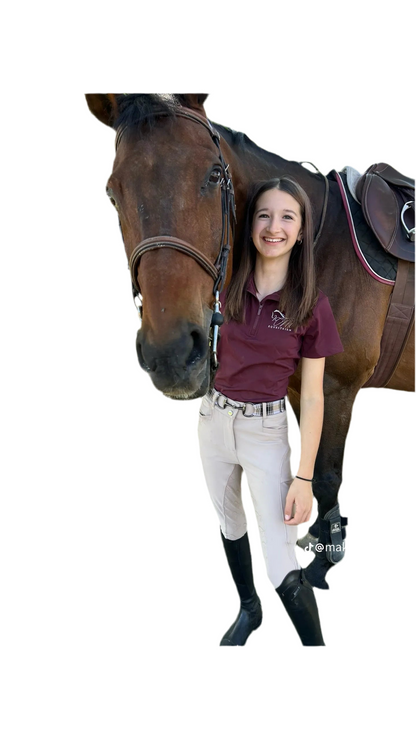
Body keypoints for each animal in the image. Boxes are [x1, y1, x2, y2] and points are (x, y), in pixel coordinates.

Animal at [85, 93, 414, 589]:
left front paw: (324, 559)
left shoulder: (338, 388)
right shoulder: (301, 386)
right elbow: (309, 466)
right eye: (112, 192)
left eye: (213, 176)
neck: (317, 250)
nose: (173, 353)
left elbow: (325, 477)